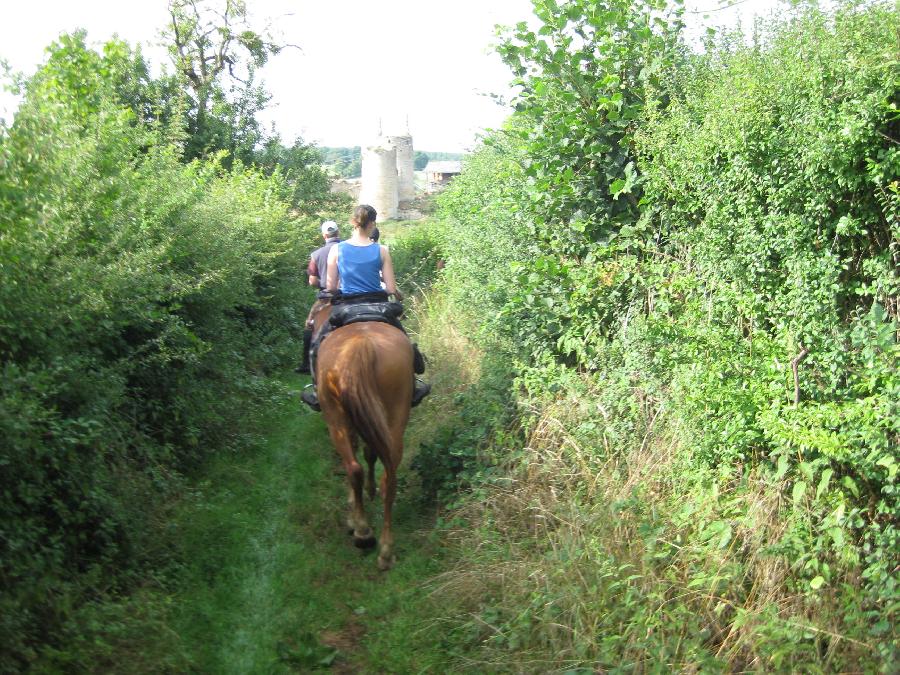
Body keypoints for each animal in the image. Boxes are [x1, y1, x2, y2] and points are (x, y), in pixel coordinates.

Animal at [308, 302, 410, 572]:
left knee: (353, 467)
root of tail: (360, 345)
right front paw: (369, 491)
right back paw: (386, 551)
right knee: (389, 477)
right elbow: (370, 452)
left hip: (335, 419)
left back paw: (362, 531)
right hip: (395, 416)